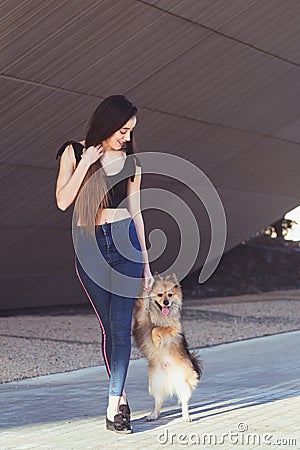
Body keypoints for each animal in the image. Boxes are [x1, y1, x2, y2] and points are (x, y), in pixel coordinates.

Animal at [133, 272, 202, 424]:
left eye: (170, 295)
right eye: (159, 294)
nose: (166, 302)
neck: (159, 314)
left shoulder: (174, 328)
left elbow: (157, 329)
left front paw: (157, 340)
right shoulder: (141, 319)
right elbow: (145, 308)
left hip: (183, 382)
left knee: (184, 402)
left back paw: (186, 416)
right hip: (154, 384)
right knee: (158, 401)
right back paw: (153, 415)